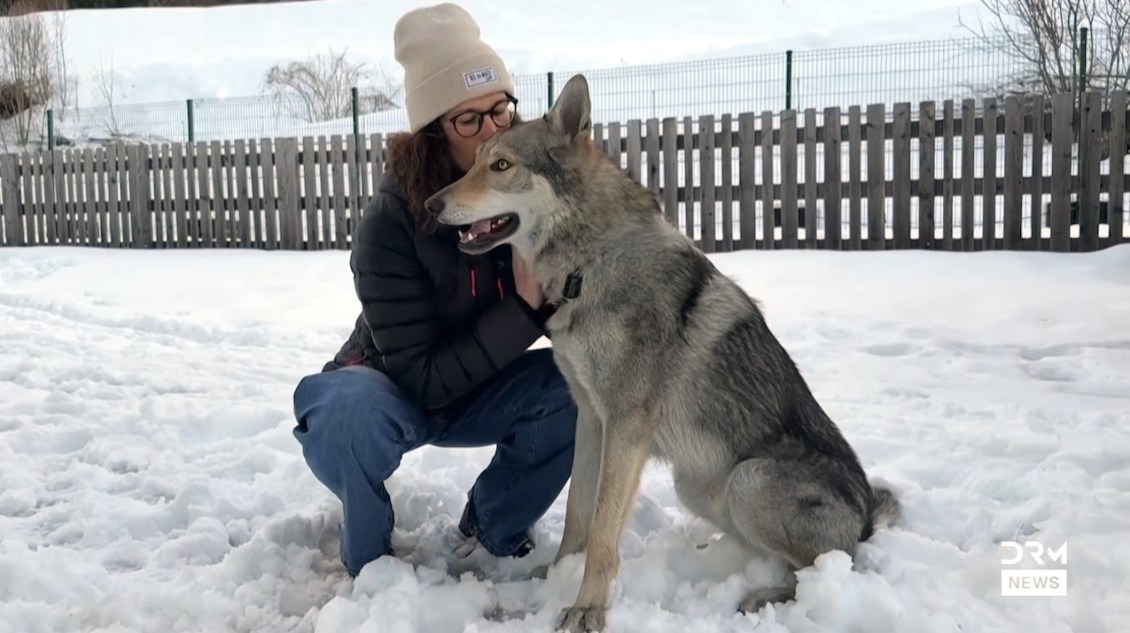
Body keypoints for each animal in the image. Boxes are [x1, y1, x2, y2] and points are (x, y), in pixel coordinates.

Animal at [424, 74, 901, 633]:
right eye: (476, 160)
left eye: (501, 166)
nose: (431, 205)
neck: (587, 262)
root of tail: (866, 519)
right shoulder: (591, 417)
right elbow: (579, 515)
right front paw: (557, 577)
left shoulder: (626, 425)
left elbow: (604, 533)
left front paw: (587, 609)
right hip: (694, 485)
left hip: (748, 480)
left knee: (819, 570)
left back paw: (759, 596)